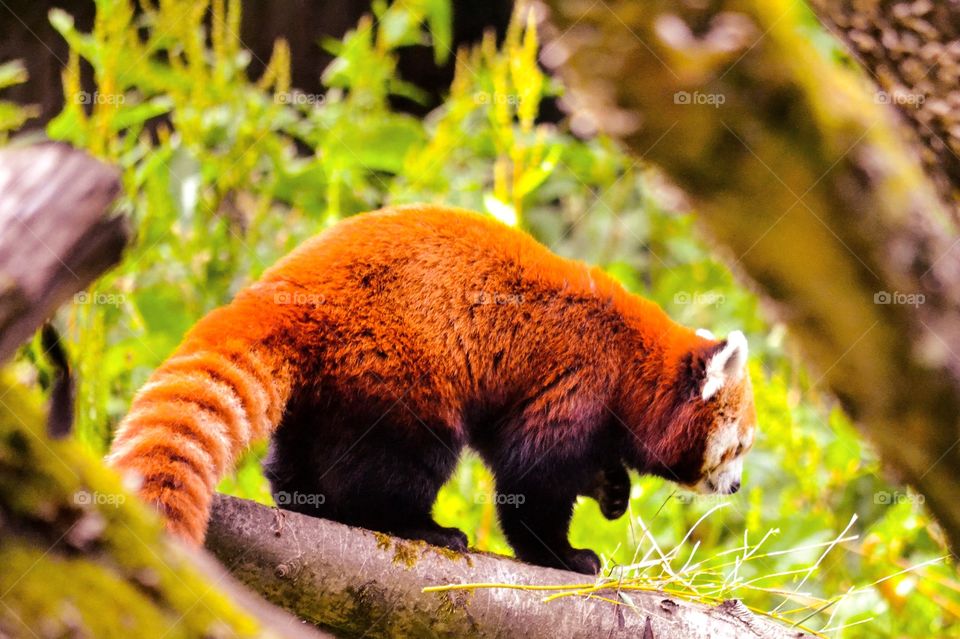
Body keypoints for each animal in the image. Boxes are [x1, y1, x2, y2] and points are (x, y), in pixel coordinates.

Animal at [109, 204, 756, 576]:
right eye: (739, 447)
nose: (736, 486)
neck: (632, 364)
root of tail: (284, 287)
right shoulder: (578, 380)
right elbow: (533, 477)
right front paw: (564, 556)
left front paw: (613, 490)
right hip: (398, 367)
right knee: (400, 458)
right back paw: (419, 527)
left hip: (329, 386)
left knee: (303, 448)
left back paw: (304, 499)